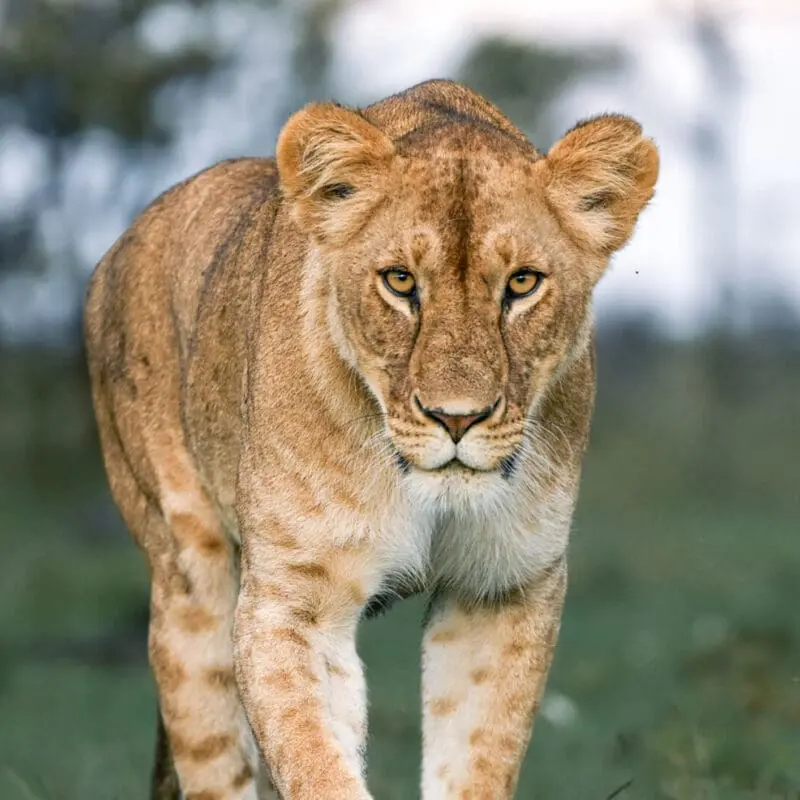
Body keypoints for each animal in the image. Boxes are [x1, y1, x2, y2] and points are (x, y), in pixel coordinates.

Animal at [84, 79, 658, 799]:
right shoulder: (294, 602)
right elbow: (314, 762)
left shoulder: (502, 588)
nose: (457, 418)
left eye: (522, 282)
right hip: (188, 578)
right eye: (400, 281)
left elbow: (475, 762)